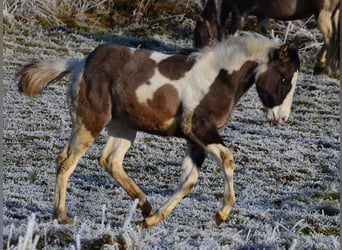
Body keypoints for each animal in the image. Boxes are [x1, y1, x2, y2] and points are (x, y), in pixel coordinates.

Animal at [16, 34, 300, 228]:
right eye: (285, 79)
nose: (281, 118)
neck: (217, 79)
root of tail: (79, 63)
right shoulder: (199, 129)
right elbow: (227, 160)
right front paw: (221, 215)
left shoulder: (194, 140)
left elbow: (189, 180)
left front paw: (152, 219)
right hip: (90, 121)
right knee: (67, 161)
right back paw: (62, 216)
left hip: (124, 128)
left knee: (109, 160)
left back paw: (145, 206)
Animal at [194, 0, 340, 76]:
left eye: (200, 35)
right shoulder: (262, 16)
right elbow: (263, 37)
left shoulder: (239, 13)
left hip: (323, 12)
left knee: (331, 39)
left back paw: (326, 69)